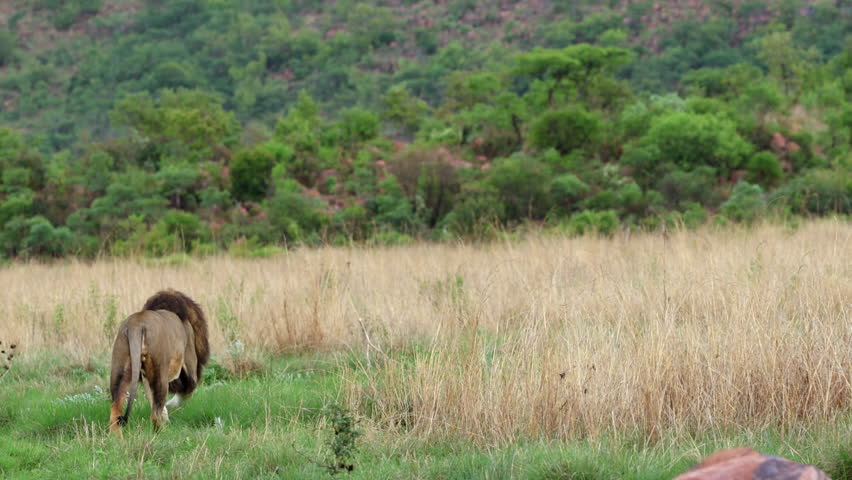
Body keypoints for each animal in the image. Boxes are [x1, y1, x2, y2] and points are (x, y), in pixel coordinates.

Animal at [108, 289, 209, 434]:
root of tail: (136, 325)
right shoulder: (190, 365)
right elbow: (187, 391)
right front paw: (170, 407)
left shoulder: (145, 377)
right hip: (160, 373)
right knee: (154, 415)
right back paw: (163, 433)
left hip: (120, 368)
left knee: (115, 411)